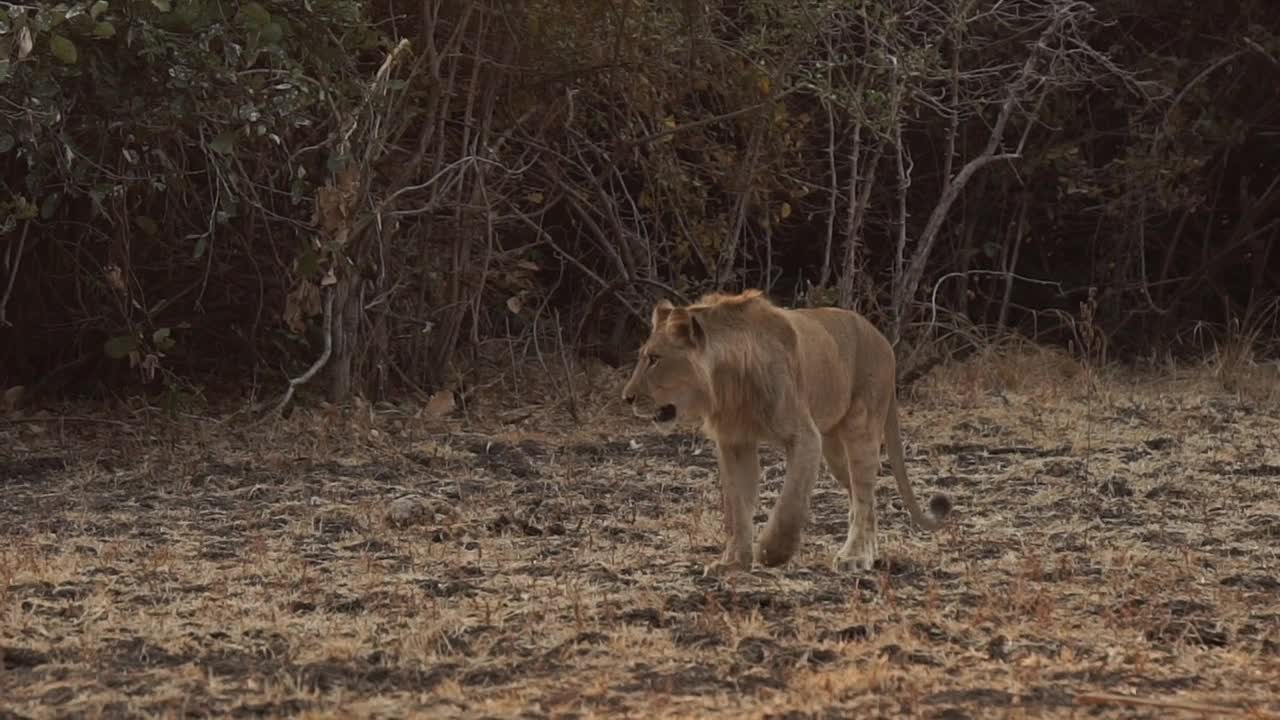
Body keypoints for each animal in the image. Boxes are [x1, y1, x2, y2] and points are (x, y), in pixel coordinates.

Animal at [619, 285, 952, 571]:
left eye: (654, 359)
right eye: (644, 357)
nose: (627, 397)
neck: (727, 385)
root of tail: (882, 339)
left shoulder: (805, 437)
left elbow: (791, 500)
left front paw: (772, 552)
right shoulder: (734, 442)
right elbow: (736, 507)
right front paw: (733, 562)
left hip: (861, 426)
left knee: (864, 495)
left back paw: (854, 557)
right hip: (834, 450)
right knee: (862, 501)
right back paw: (869, 553)